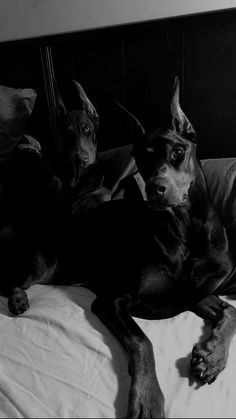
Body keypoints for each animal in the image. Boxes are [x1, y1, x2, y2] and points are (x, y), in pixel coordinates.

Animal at [4, 76, 236, 419]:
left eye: (178, 151)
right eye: (142, 158)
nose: (155, 188)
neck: (184, 231)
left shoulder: (192, 293)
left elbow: (230, 311)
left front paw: (213, 356)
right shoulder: (111, 300)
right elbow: (143, 342)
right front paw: (148, 399)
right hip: (41, 262)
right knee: (9, 279)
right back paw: (18, 297)